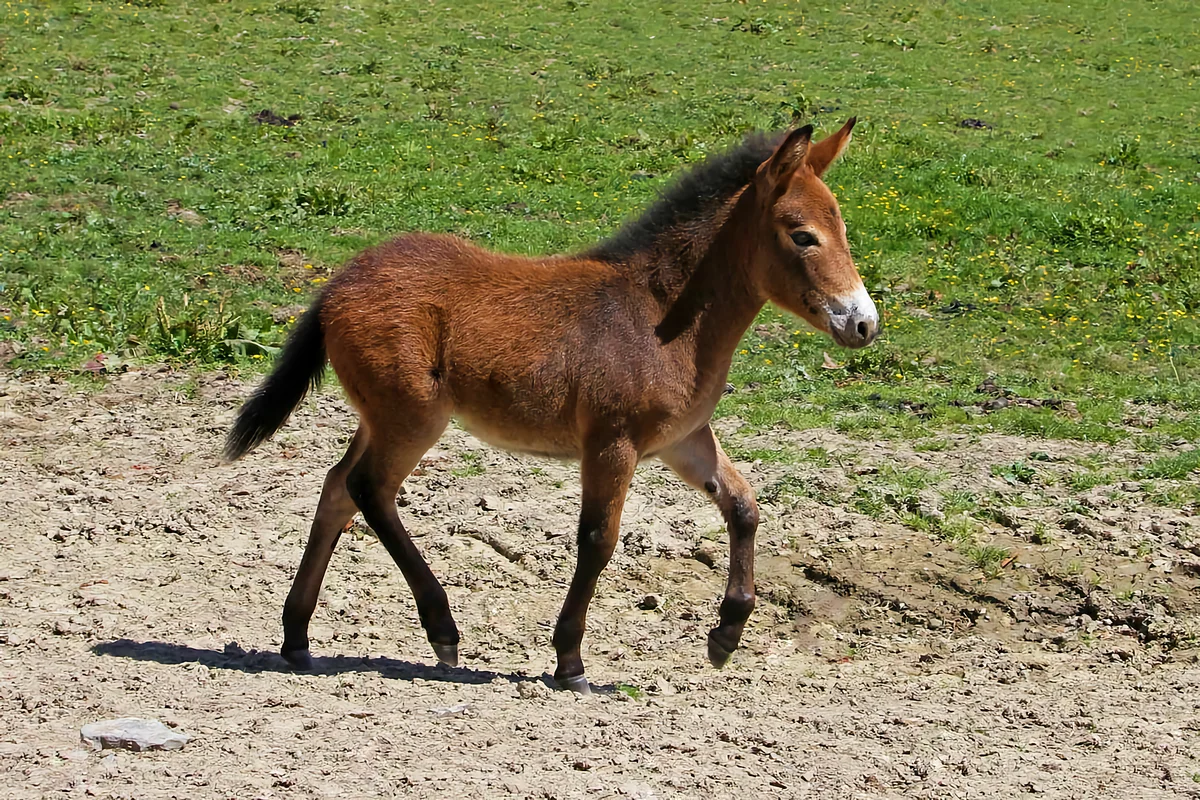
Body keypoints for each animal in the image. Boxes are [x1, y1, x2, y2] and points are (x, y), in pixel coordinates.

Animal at [226, 118, 883, 695]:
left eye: (844, 228)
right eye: (802, 234)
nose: (863, 323)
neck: (659, 316)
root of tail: (337, 284)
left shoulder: (682, 440)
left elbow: (744, 507)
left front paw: (725, 634)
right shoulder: (612, 442)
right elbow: (598, 539)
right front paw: (570, 661)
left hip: (380, 417)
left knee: (337, 489)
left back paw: (297, 639)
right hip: (412, 418)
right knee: (369, 490)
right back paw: (441, 631)